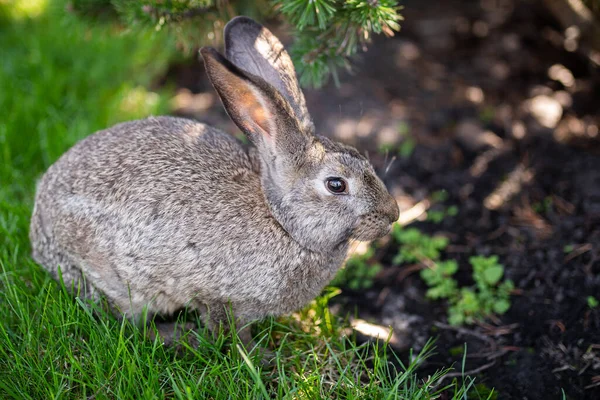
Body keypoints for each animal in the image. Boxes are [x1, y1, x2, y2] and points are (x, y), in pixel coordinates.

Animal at [30, 15, 400, 346]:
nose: (393, 214)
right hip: (111, 277)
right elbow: (230, 330)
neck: (281, 222)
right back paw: (175, 335)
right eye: (336, 185)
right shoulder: (215, 294)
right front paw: (260, 357)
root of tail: (38, 230)